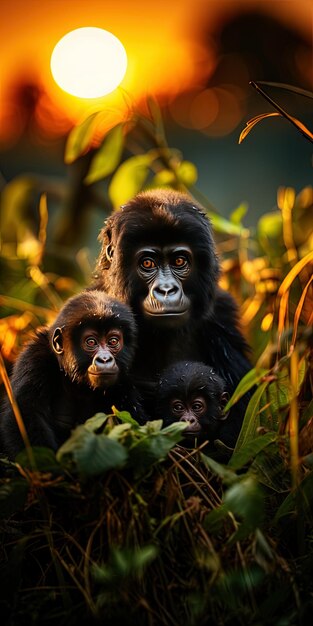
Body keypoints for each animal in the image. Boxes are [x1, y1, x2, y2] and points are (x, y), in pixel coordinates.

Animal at [0, 288, 141, 458]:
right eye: (91, 342)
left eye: (113, 341)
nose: (105, 359)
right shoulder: (35, 358)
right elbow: (26, 414)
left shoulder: (125, 381)